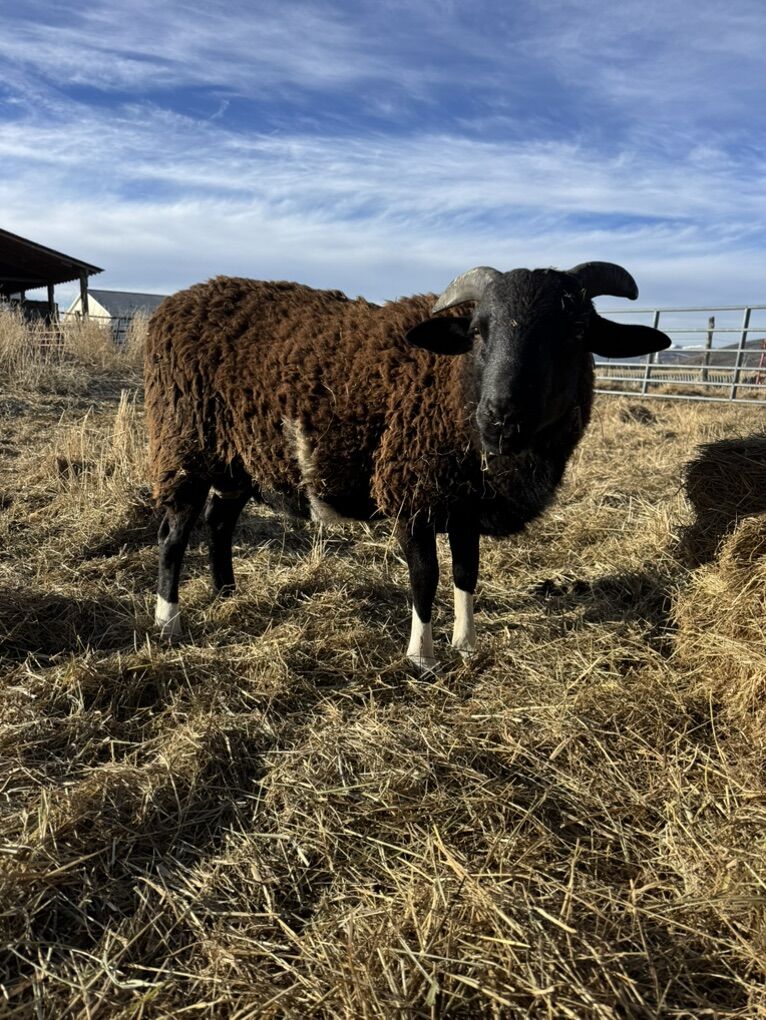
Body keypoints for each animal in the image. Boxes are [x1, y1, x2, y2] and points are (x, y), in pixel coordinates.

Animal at [145, 263, 670, 669]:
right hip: (183, 447)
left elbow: (467, 573)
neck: (454, 384)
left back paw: (226, 594)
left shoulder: (465, 507)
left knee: (218, 523)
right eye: (478, 331)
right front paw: (422, 656)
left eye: (577, 332)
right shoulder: (411, 492)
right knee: (174, 535)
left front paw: (466, 645)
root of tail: (174, 306)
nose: (501, 419)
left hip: (236, 461)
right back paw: (168, 622)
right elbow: (426, 576)